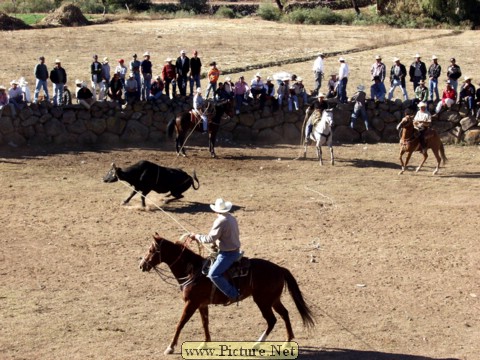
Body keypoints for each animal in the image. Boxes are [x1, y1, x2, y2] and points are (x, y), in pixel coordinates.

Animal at [138, 233, 316, 354]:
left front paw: (170, 347)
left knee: (272, 320)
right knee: (285, 314)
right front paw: (205, 343)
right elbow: (205, 323)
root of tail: (279, 269)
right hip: (273, 300)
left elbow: (180, 323)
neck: (192, 271)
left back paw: (257, 344)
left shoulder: (191, 303)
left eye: (151, 250)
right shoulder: (201, 304)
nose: (142, 265)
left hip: (263, 301)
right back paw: (287, 341)